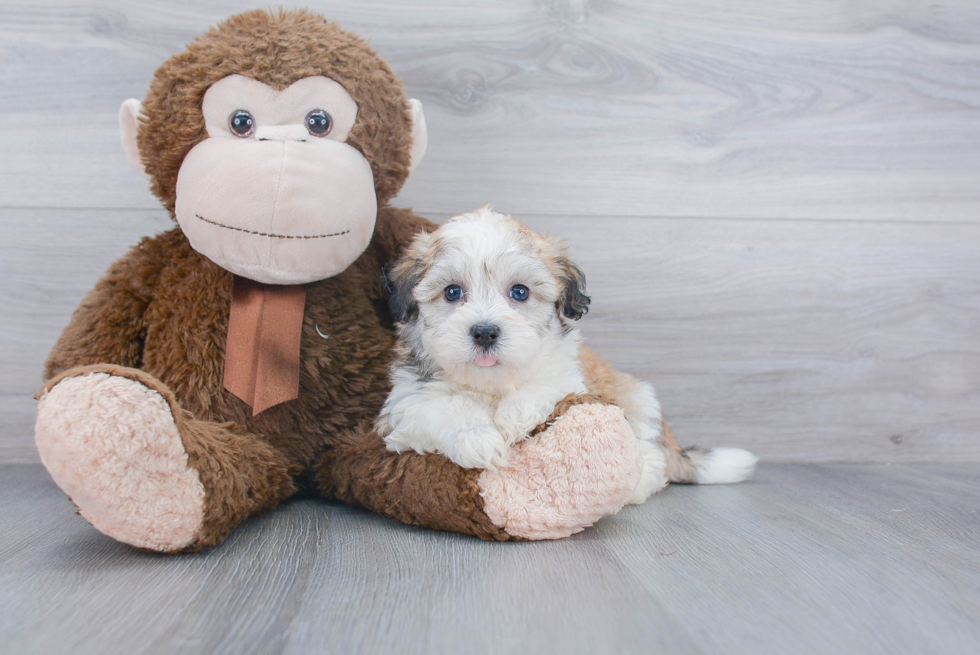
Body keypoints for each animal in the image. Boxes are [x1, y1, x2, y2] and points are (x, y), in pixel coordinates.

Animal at [378, 208, 756, 504]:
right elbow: (442, 408)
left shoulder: (568, 376)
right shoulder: (405, 406)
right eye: (452, 292)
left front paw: (514, 417)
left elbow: (547, 386)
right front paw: (478, 440)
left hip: (638, 399)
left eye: (520, 292)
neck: (491, 384)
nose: (484, 332)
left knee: (651, 459)